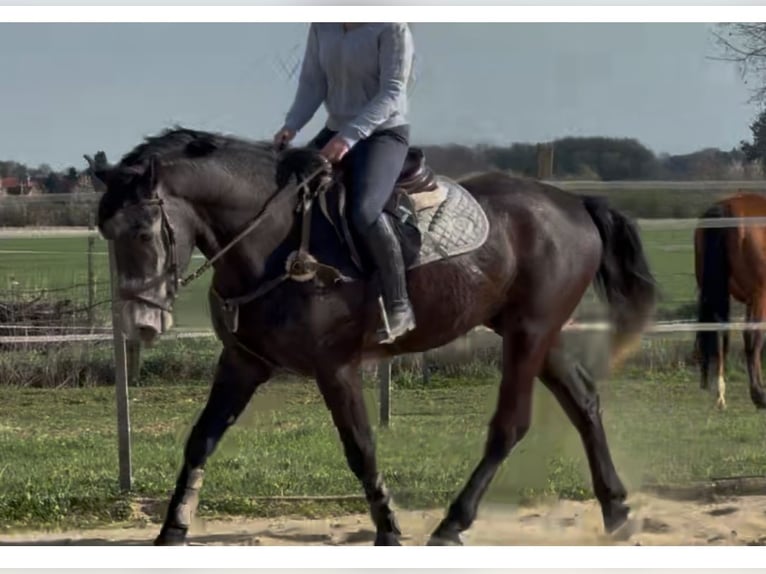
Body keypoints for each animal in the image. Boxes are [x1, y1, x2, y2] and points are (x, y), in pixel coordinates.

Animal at [87, 126, 657, 546]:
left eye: (142, 231)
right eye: (106, 233)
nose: (140, 323)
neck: (278, 244)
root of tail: (574, 204)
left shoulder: (336, 367)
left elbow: (360, 447)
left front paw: (388, 529)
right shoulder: (242, 363)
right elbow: (200, 439)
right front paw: (172, 529)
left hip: (528, 333)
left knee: (509, 426)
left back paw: (453, 523)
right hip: (534, 332)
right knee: (583, 401)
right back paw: (616, 509)